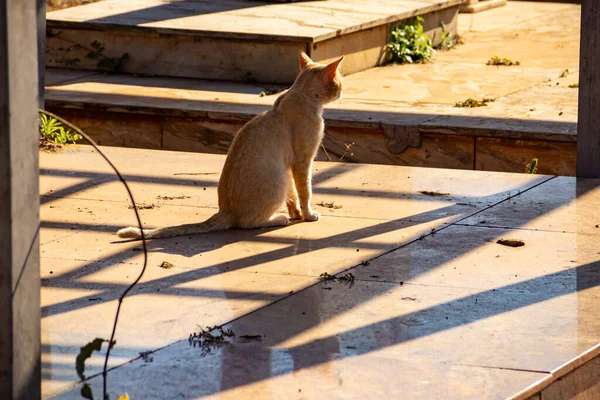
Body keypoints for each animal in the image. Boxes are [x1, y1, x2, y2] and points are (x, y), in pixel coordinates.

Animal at [117, 50, 342, 238]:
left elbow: (294, 196)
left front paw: (298, 214)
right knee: (246, 224)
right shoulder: (303, 162)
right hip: (279, 180)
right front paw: (308, 215)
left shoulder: (291, 167)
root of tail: (224, 210)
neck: (299, 94)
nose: (341, 92)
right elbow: (305, 192)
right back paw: (278, 219)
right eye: (339, 83)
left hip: (283, 176)